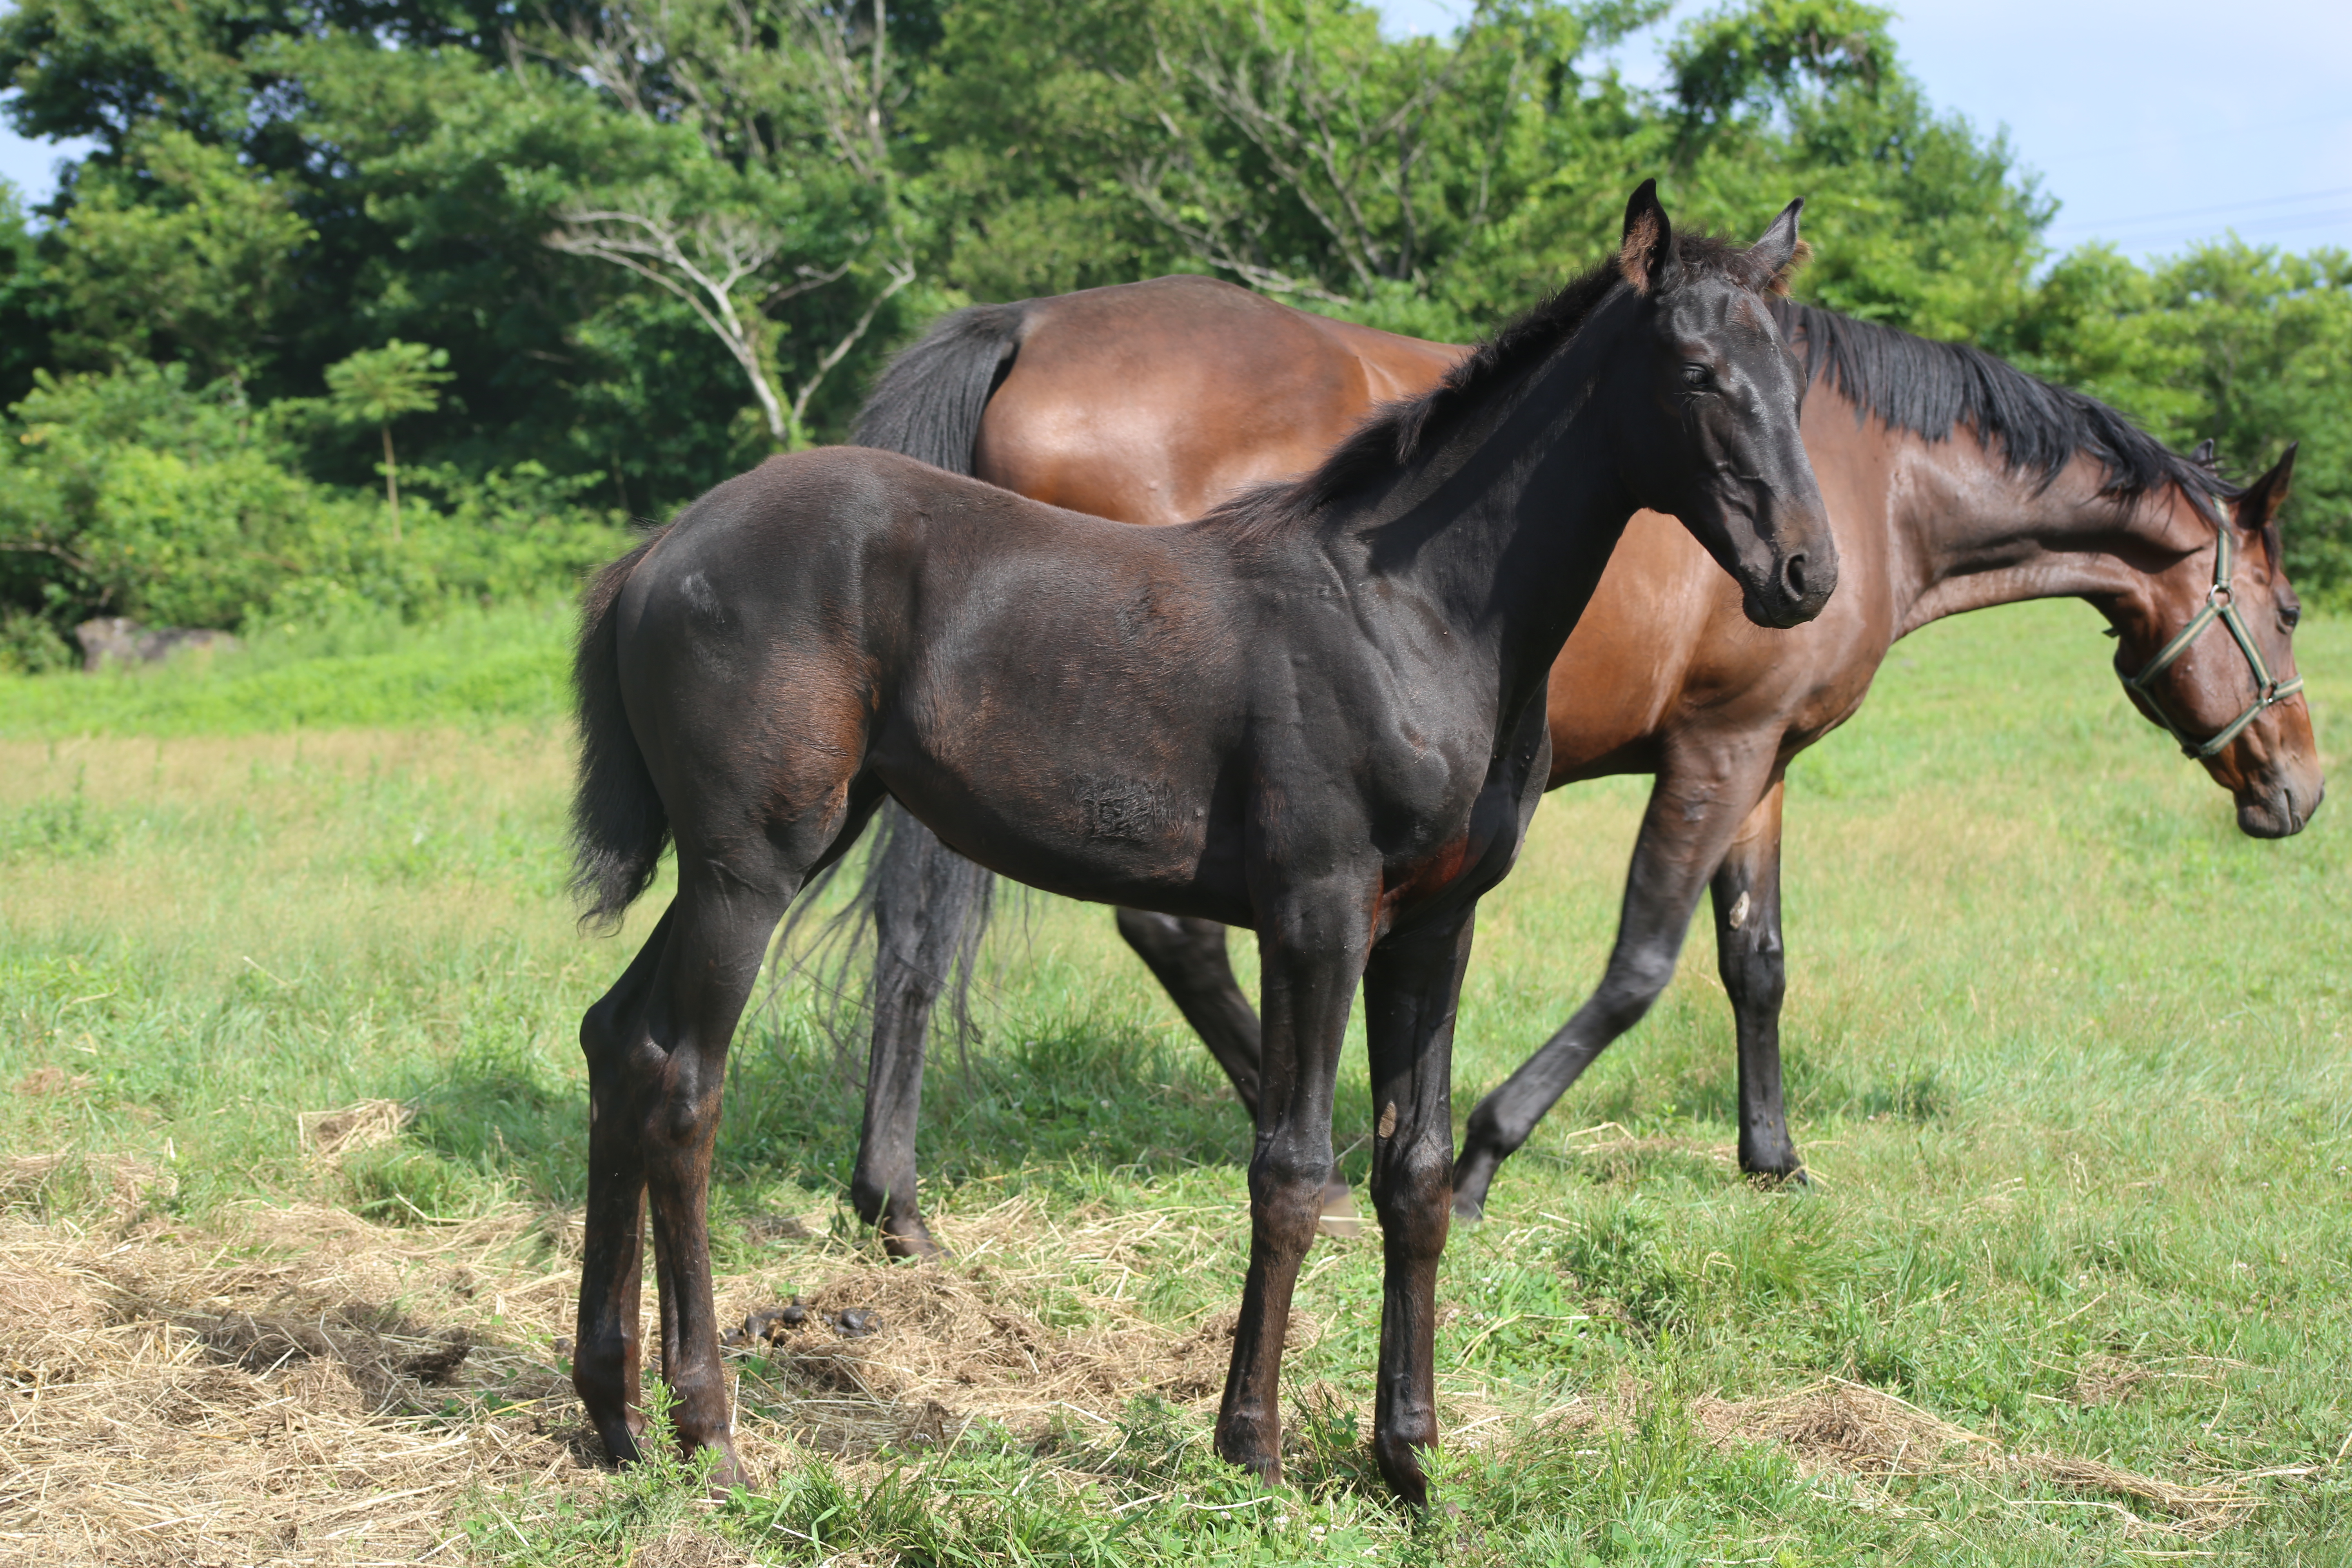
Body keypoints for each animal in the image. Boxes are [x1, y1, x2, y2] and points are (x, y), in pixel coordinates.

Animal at [569, 190, 1834, 1504]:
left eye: (1793, 377)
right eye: (1694, 372)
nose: (1805, 574)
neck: (1413, 613)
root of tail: (657, 552)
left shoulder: (1435, 924)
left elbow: (1417, 1177)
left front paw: (1408, 1457)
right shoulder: (1316, 910)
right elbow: (1289, 1168)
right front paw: (1253, 1447)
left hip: (756, 857)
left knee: (620, 1041)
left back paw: (614, 1412)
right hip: (752, 865)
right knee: (685, 1087)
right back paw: (708, 1430)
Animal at [823, 242, 2314, 1250]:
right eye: (2293, 608)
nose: (2298, 789)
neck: (1871, 480)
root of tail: (1030, 326)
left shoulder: (1764, 764)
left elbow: (1757, 964)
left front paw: (1774, 1156)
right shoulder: (1716, 753)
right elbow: (1643, 967)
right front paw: (1484, 1153)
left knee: (921, 936)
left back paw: (894, 1199)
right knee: (1164, 934)